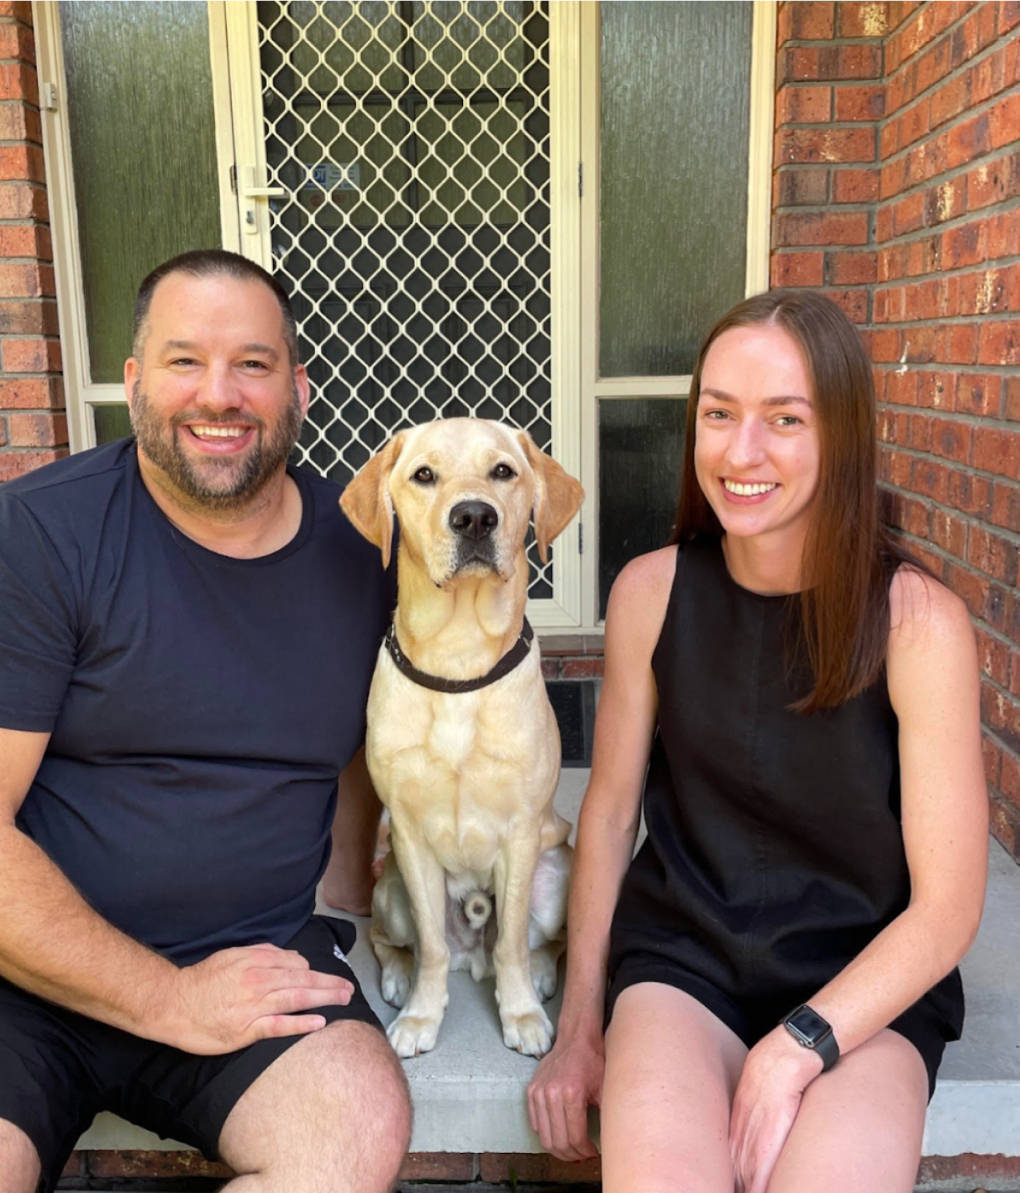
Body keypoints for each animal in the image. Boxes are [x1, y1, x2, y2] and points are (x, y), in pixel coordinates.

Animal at [343, 417, 582, 1054]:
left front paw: (520, 1013)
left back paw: (539, 974)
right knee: (391, 939)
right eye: (424, 475)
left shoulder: (522, 833)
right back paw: (398, 978)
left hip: (559, 874)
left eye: (503, 471)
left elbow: (513, 941)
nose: (474, 516)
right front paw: (422, 1017)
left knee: (533, 943)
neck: (459, 657)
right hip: (390, 888)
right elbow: (429, 946)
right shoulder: (408, 836)